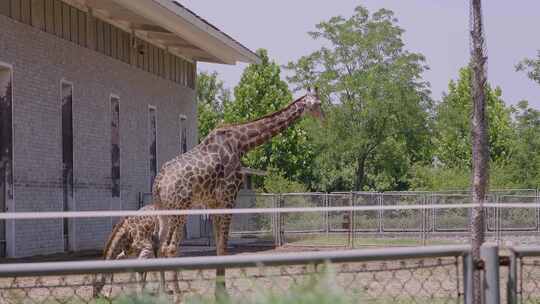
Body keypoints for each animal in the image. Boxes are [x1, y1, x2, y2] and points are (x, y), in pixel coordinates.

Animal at [150, 91, 322, 290]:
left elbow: (219, 247)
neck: (242, 143)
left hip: (162, 210)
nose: (324, 118)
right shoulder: (229, 197)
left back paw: (164, 290)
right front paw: (221, 292)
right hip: (179, 209)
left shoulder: (214, 203)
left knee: (158, 244)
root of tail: (159, 183)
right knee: (169, 247)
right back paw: (176, 293)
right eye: (318, 103)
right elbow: (224, 248)